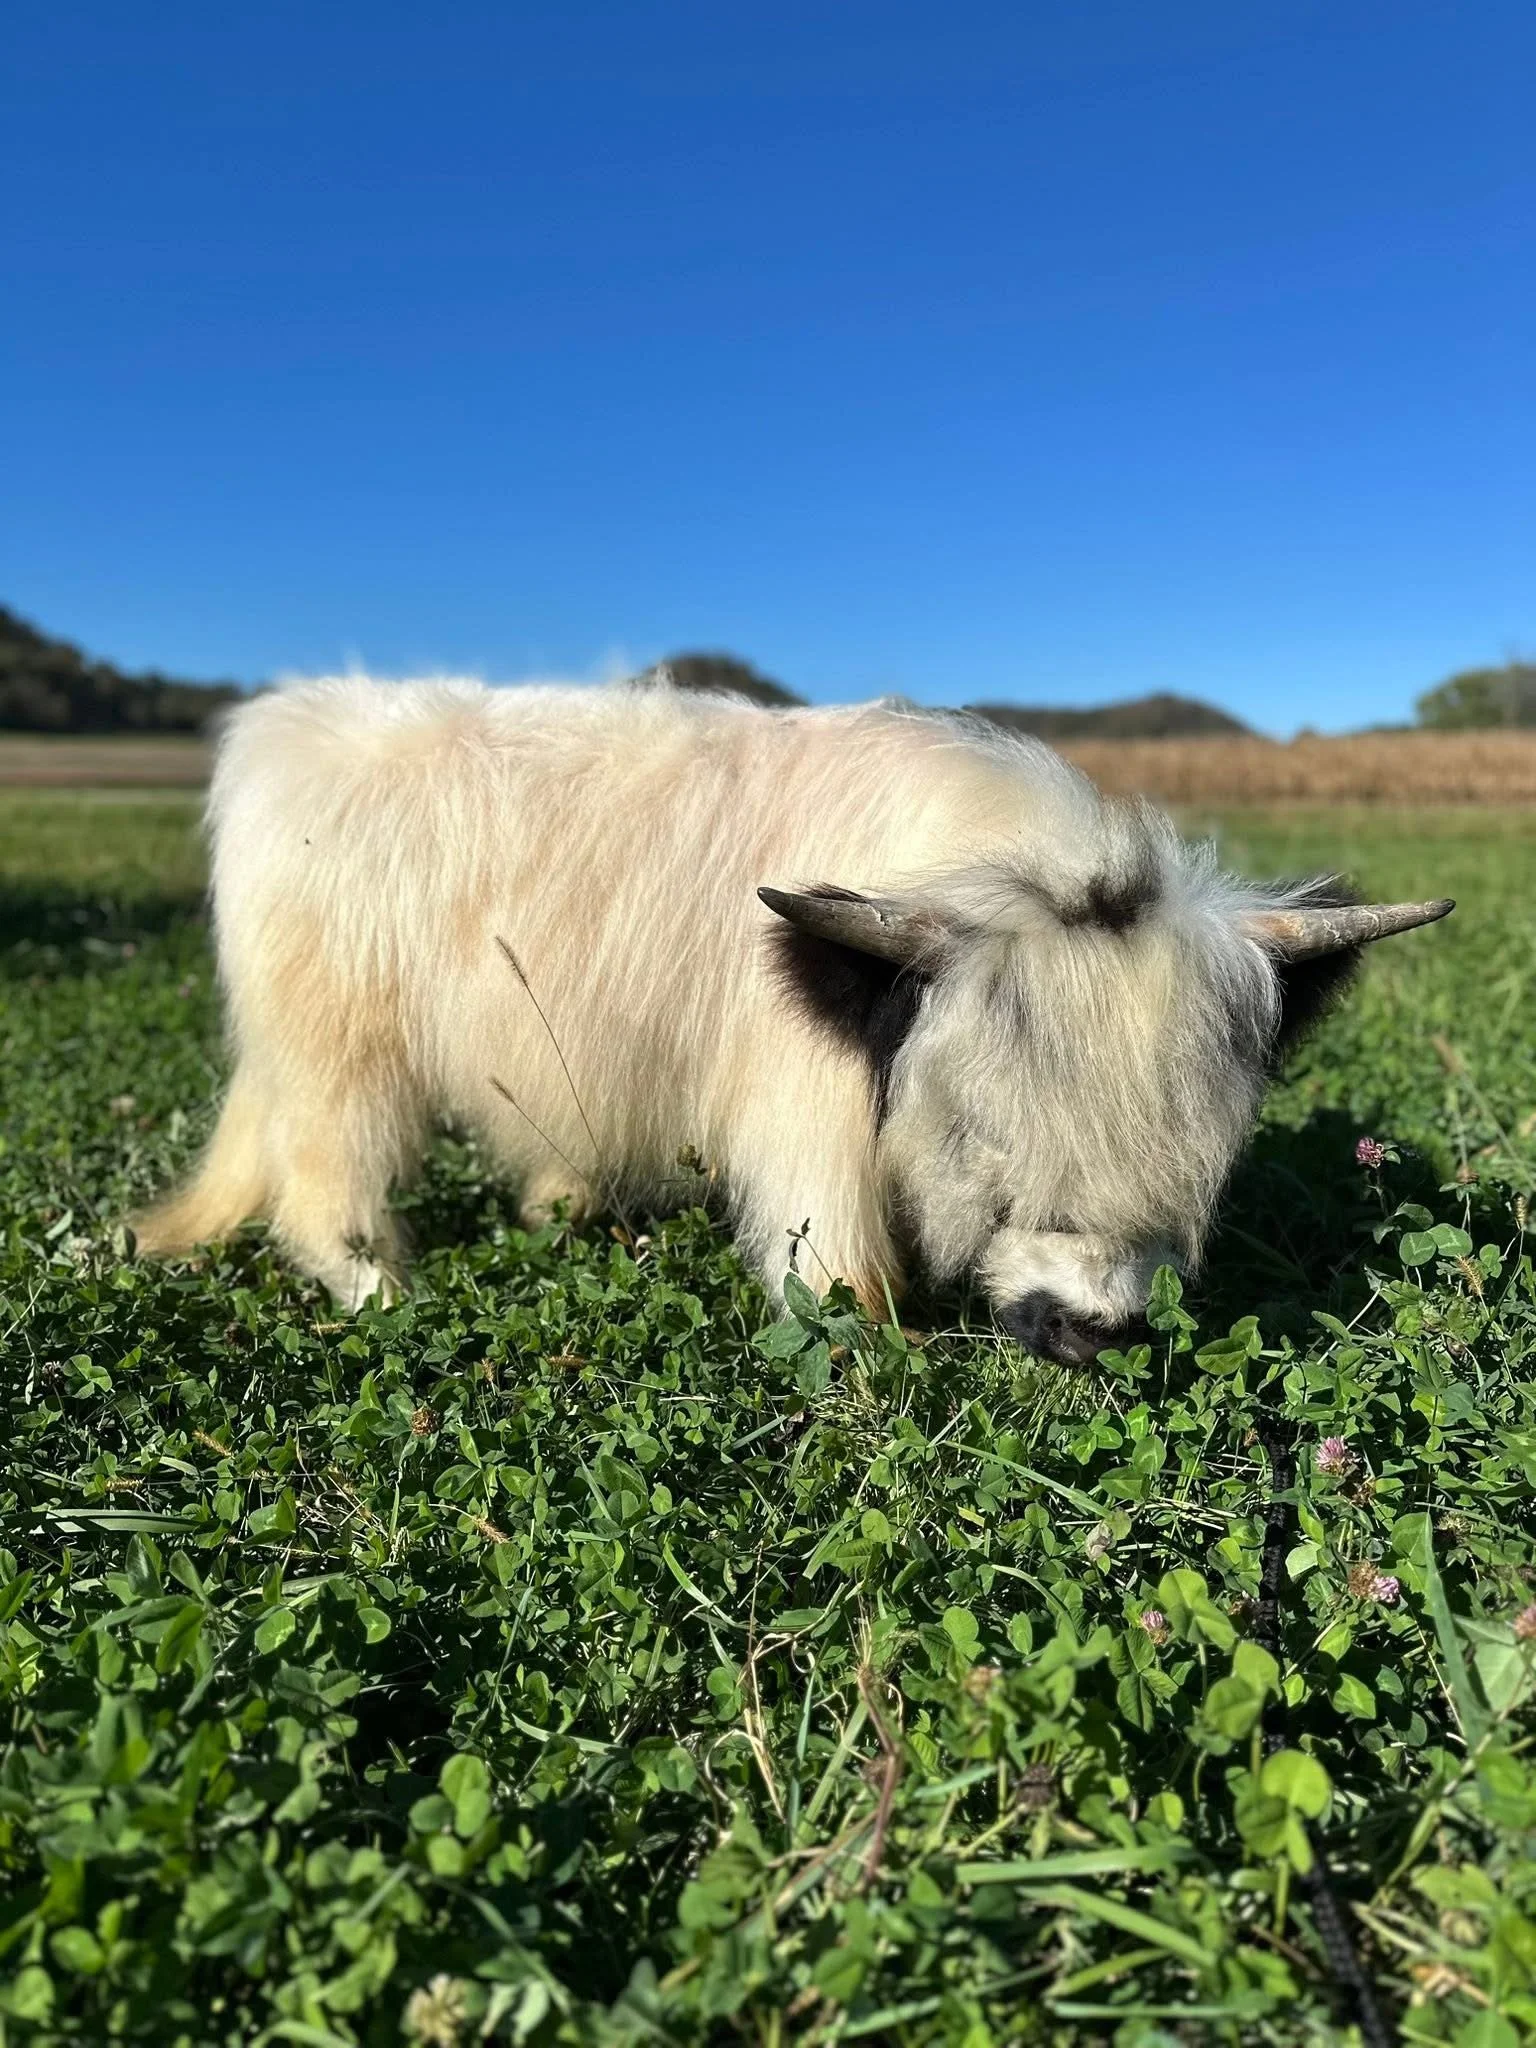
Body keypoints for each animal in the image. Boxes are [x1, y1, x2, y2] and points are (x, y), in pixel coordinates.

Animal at [131, 676, 1451, 1362]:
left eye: (1204, 1161)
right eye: (982, 1139)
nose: (1095, 1330)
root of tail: (283, 730)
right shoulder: (806, 1103)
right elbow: (841, 1276)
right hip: (337, 1046)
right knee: (327, 1173)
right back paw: (378, 1290)